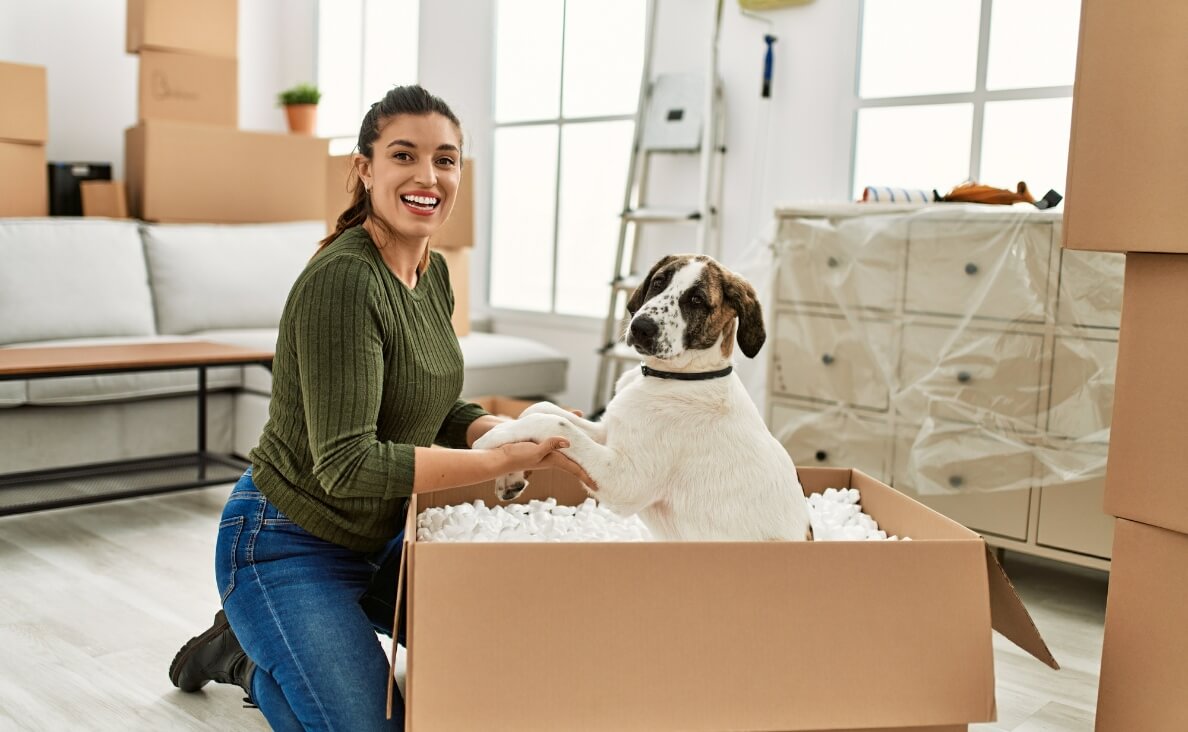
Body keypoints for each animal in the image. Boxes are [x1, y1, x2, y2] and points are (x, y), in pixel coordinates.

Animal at [472, 254, 817, 539]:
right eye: (659, 282)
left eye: (696, 299)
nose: (641, 327)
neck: (676, 378)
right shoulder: (608, 430)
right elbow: (541, 409)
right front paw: (511, 471)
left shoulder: (624, 480)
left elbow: (553, 423)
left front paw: (492, 439)